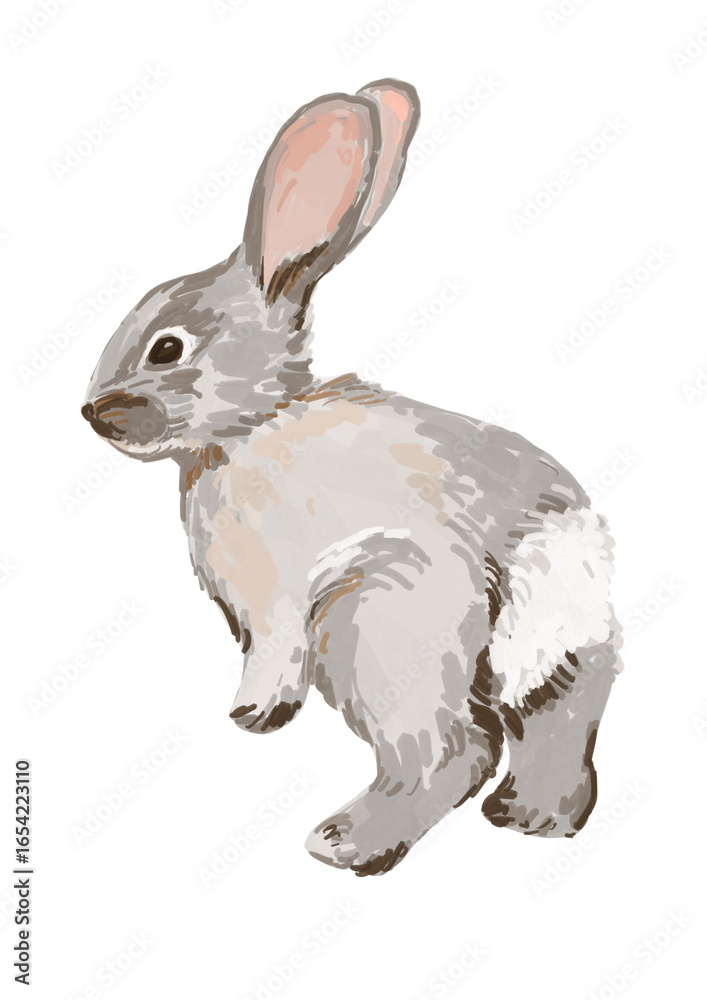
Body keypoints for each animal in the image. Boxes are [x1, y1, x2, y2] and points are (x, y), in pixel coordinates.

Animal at [82, 78, 622, 876]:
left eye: (167, 348)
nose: (92, 413)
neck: (247, 427)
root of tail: (543, 539)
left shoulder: (274, 603)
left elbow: (271, 658)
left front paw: (251, 716)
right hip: (555, 658)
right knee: (557, 719)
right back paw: (533, 819)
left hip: (378, 627)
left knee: (453, 751)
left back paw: (346, 842)